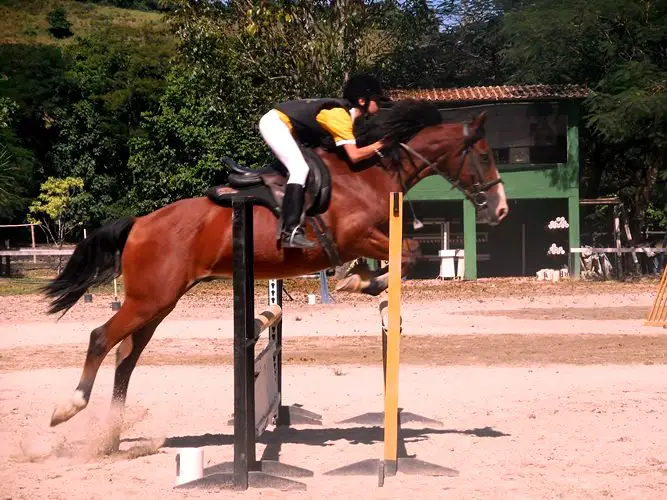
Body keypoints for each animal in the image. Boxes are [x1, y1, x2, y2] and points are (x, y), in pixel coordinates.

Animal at [42, 98, 508, 451]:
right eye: (486, 156)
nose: (501, 209)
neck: (370, 173)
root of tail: (140, 223)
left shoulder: (368, 237)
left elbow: (404, 255)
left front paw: (359, 278)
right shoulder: (356, 234)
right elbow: (409, 254)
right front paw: (359, 282)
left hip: (159, 304)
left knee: (126, 355)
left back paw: (110, 437)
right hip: (149, 300)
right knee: (101, 339)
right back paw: (69, 409)